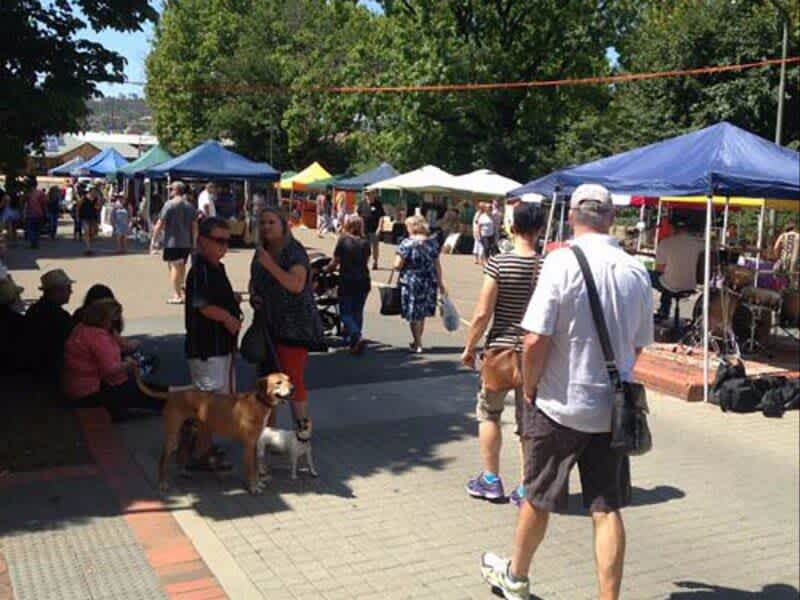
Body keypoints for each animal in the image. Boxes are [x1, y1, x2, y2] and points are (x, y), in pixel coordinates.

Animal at [137, 372, 294, 494]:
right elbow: (250, 469)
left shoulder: (254, 443)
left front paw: (258, 483)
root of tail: (173, 393)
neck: (259, 402)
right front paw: (253, 487)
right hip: (172, 435)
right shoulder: (249, 444)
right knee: (162, 459)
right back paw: (162, 483)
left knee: (181, 453)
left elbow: (255, 468)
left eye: (288, 379)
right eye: (278, 382)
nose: (293, 388)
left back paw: (183, 471)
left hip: (188, 432)